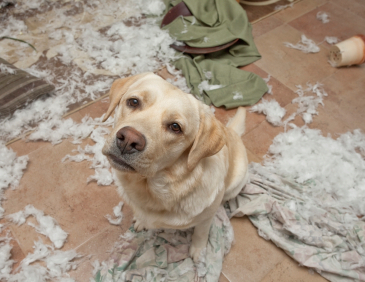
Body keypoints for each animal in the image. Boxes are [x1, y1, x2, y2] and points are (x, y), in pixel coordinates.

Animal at [101, 72, 247, 262]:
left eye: (175, 127)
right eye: (133, 102)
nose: (128, 140)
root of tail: (232, 131)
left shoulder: (206, 218)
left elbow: (201, 233)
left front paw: (198, 251)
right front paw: (141, 220)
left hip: (235, 183)